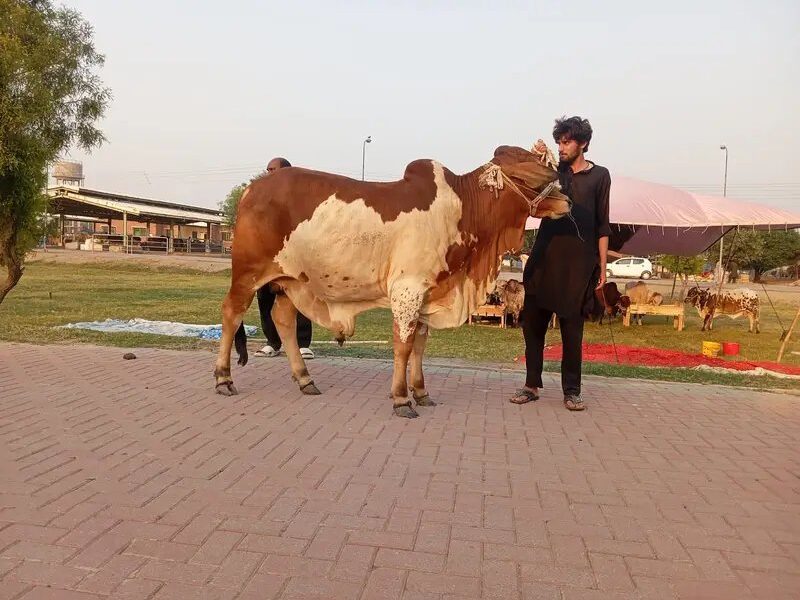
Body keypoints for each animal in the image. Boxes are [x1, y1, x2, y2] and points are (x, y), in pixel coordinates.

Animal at [213, 145, 572, 418]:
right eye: (526, 174)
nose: (567, 201)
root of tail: (253, 188)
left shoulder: (428, 291)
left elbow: (420, 345)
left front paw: (421, 392)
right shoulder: (407, 290)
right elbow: (403, 345)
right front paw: (401, 398)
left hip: (292, 281)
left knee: (284, 321)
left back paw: (305, 380)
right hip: (247, 272)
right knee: (231, 313)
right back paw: (223, 379)